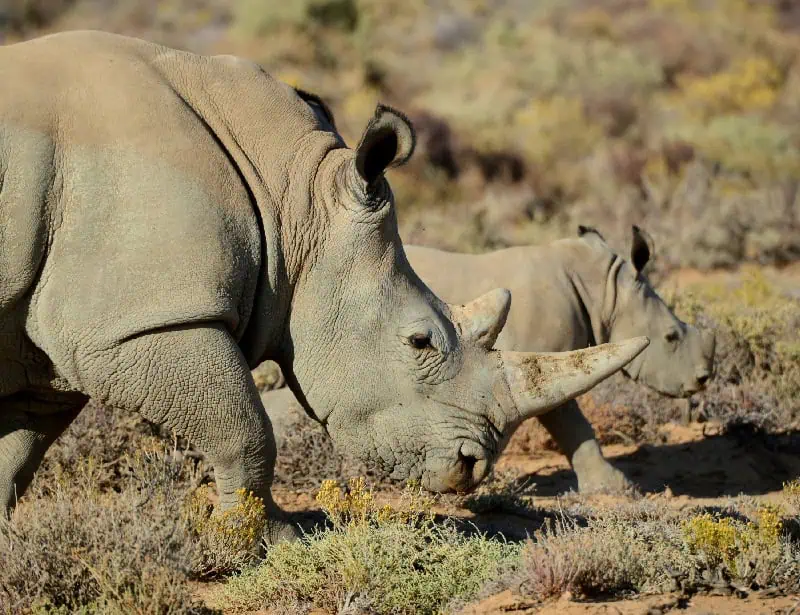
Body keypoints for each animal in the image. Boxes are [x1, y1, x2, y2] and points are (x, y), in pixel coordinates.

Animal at [0, 30, 648, 541]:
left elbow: (17, 448)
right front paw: (268, 542)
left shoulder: (47, 351)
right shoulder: (139, 323)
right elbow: (243, 428)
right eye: (420, 342)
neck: (291, 196)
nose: (471, 467)